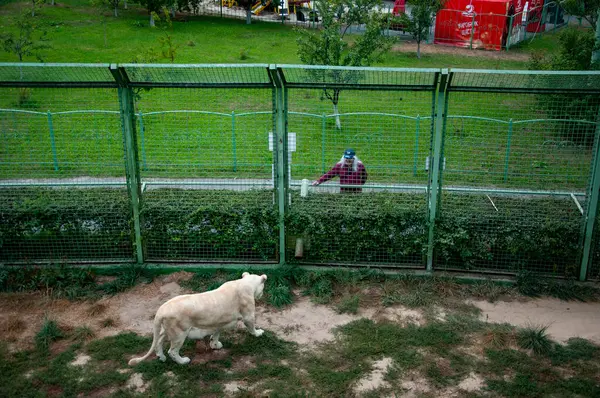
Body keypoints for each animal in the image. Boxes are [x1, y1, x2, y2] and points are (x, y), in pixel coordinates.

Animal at [129, 272, 268, 366]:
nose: (262, 295)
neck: (245, 283)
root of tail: (160, 310)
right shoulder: (248, 315)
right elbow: (251, 325)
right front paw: (258, 333)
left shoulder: (219, 321)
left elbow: (216, 332)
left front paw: (215, 345)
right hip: (179, 333)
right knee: (172, 351)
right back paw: (183, 361)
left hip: (167, 330)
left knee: (158, 342)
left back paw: (161, 357)